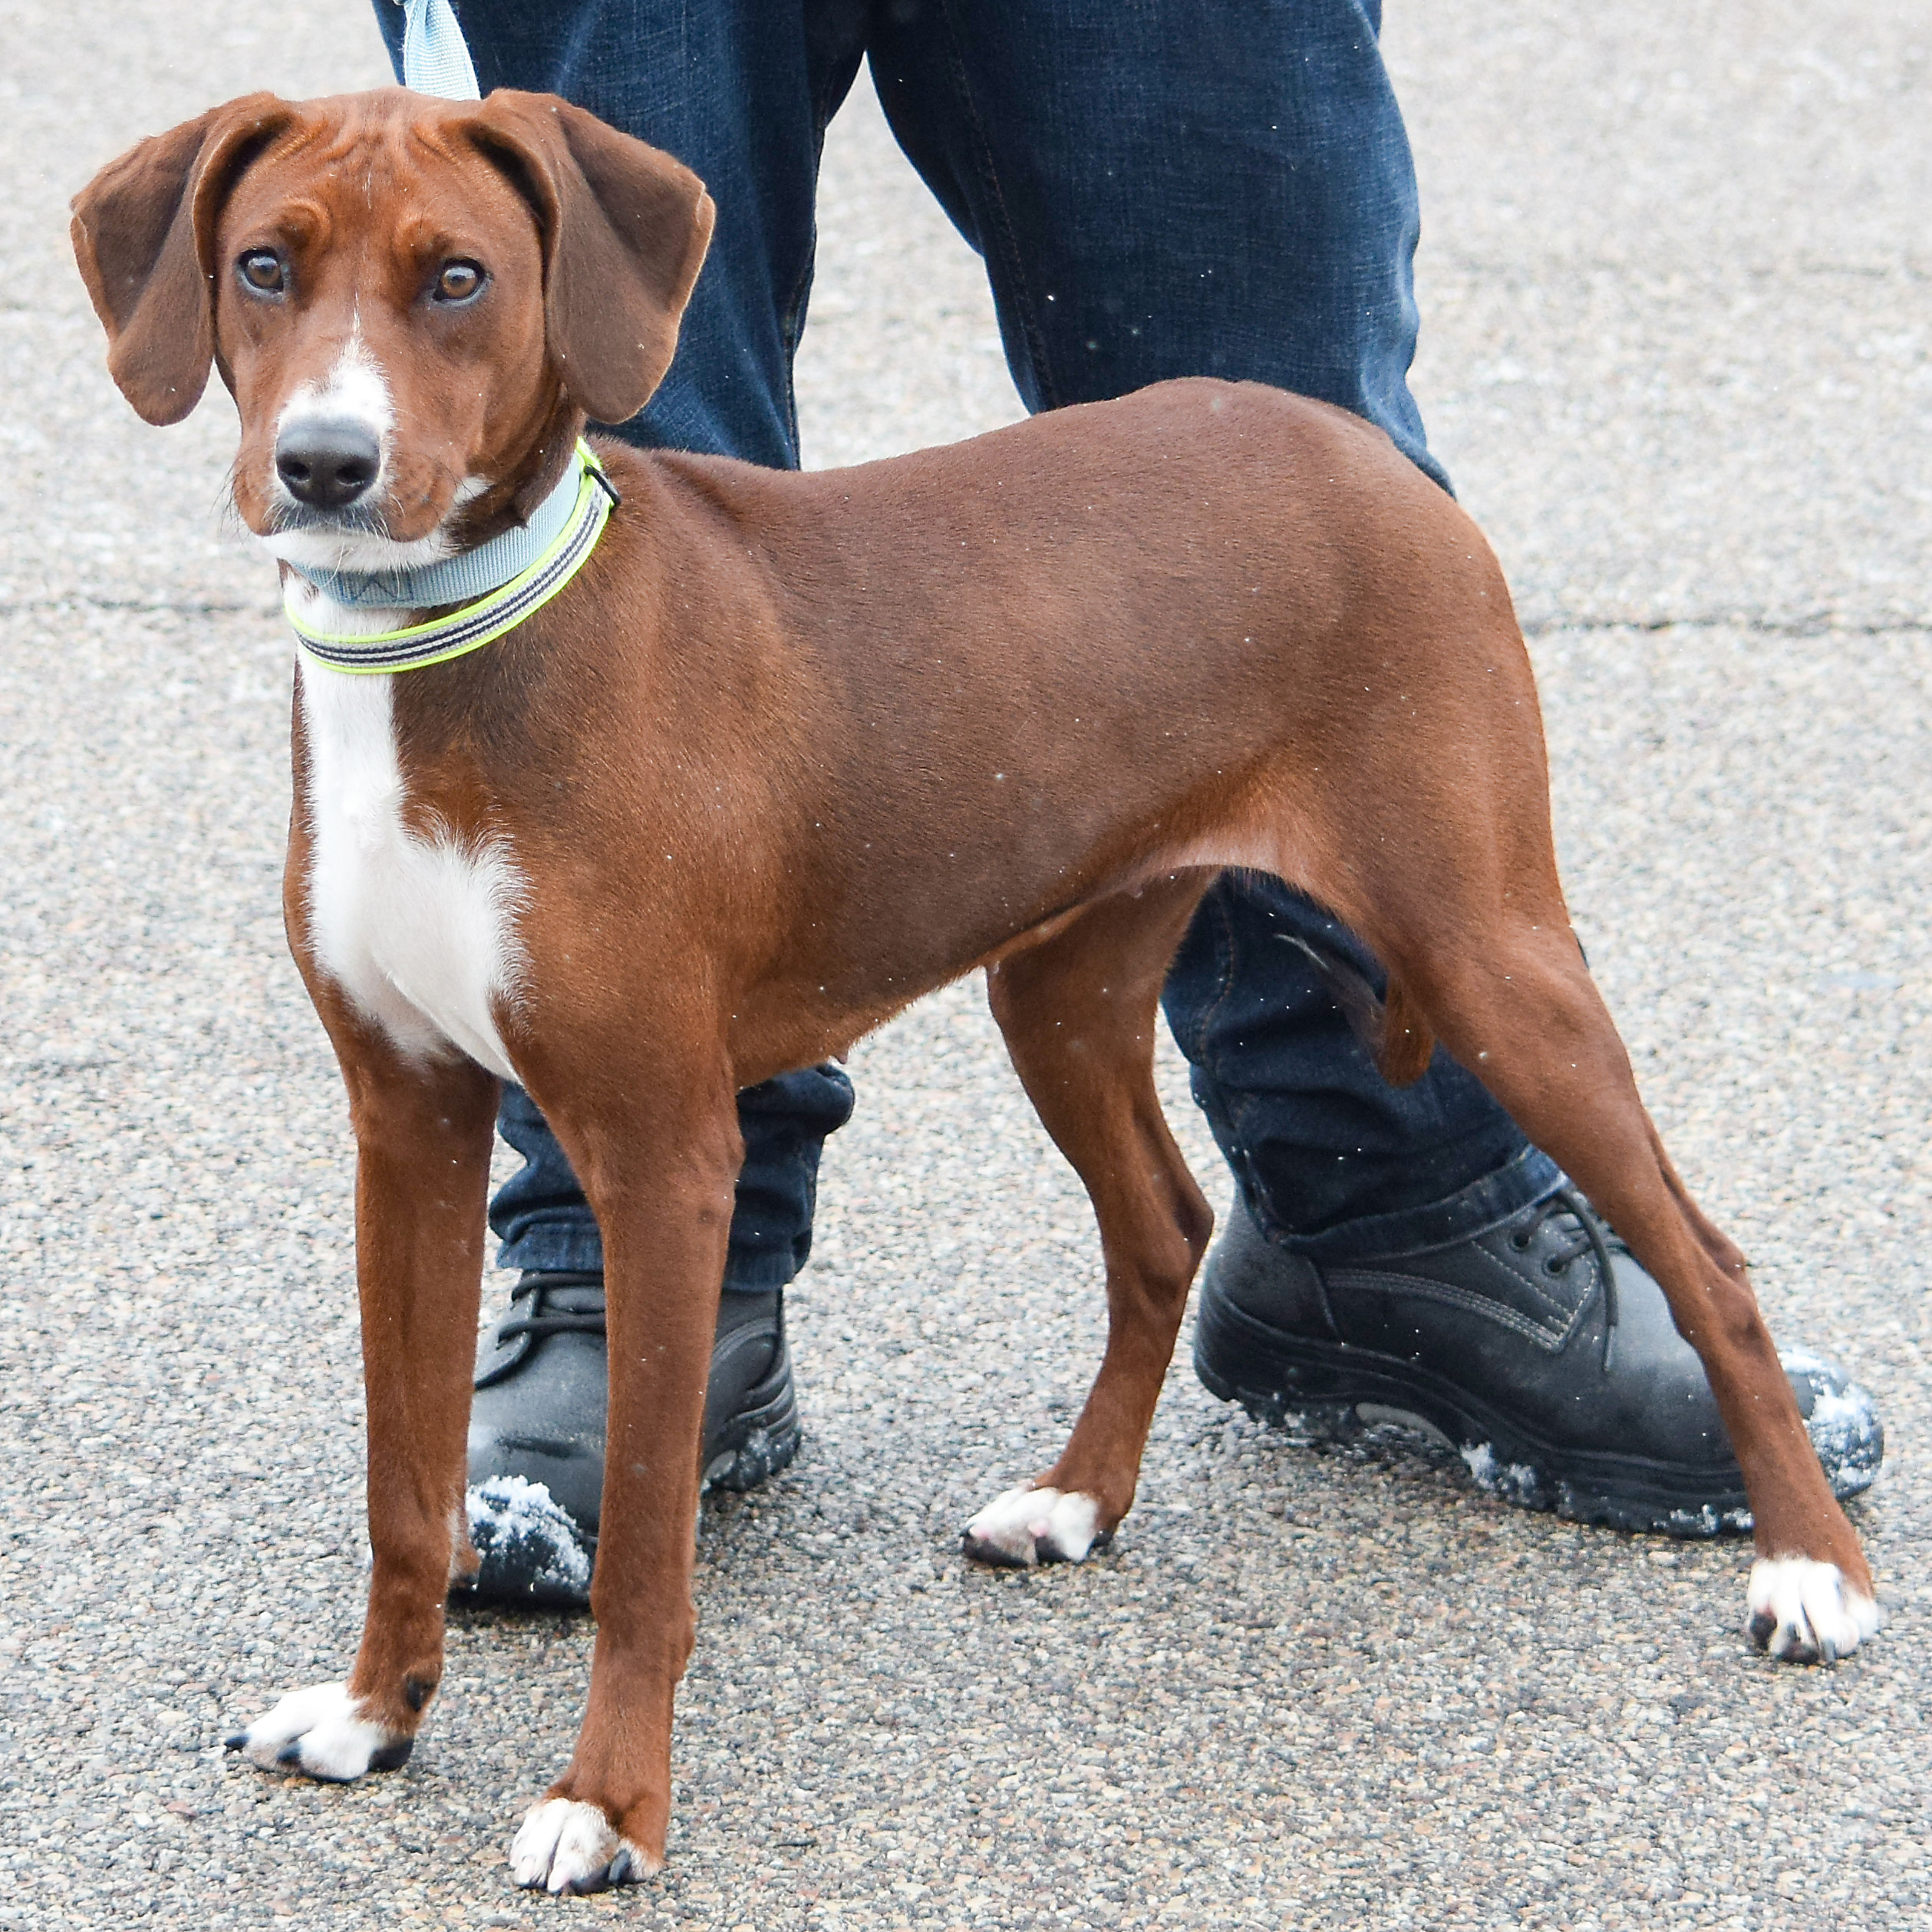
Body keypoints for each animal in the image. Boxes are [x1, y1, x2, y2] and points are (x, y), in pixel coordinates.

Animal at [75, 87, 1870, 1885]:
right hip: (1062, 986)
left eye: (457, 277)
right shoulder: (409, 1123)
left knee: (1707, 1260)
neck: (458, 657)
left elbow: (646, 1537)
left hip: (1487, 951)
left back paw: (1805, 1568)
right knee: (1164, 1222)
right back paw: (1077, 1499)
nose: (325, 465)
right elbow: (406, 1473)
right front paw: (375, 1714)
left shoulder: (664, 1153)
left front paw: (610, 1799)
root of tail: (1353, 447)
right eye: (263, 264)